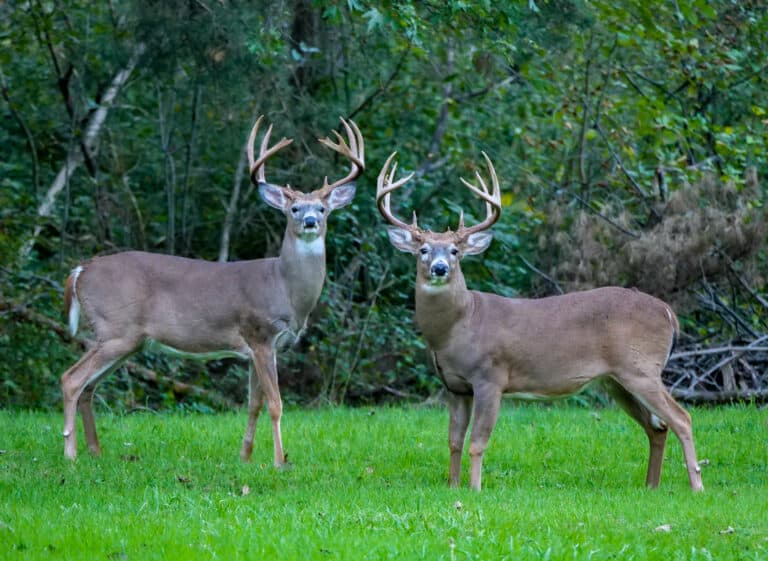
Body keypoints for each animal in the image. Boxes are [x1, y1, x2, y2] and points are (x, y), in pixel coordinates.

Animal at [60, 115, 364, 467]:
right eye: (294, 209)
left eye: (323, 208)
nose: (311, 221)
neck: (285, 288)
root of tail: (80, 270)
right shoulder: (260, 335)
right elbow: (276, 404)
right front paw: (279, 462)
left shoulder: (259, 349)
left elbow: (254, 404)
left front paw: (246, 457)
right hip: (116, 331)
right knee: (71, 380)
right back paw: (71, 455)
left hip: (123, 340)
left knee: (89, 386)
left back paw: (95, 451)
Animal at [375, 151, 704, 492]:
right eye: (423, 250)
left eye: (455, 251)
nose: (439, 268)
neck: (457, 328)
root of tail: (668, 313)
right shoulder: (455, 386)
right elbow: (454, 441)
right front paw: (453, 486)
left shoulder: (491, 376)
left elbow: (477, 442)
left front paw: (474, 489)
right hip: (616, 380)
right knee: (657, 427)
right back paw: (651, 486)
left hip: (641, 367)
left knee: (682, 418)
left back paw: (696, 485)